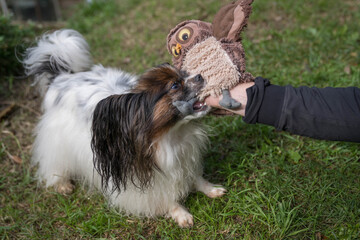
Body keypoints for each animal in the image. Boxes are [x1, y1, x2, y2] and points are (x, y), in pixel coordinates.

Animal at [23, 29, 225, 227]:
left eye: (185, 73)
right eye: (175, 85)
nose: (200, 75)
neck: (171, 134)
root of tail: (62, 77)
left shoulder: (185, 156)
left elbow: (196, 177)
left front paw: (211, 189)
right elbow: (162, 196)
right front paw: (180, 214)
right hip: (58, 140)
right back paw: (62, 183)